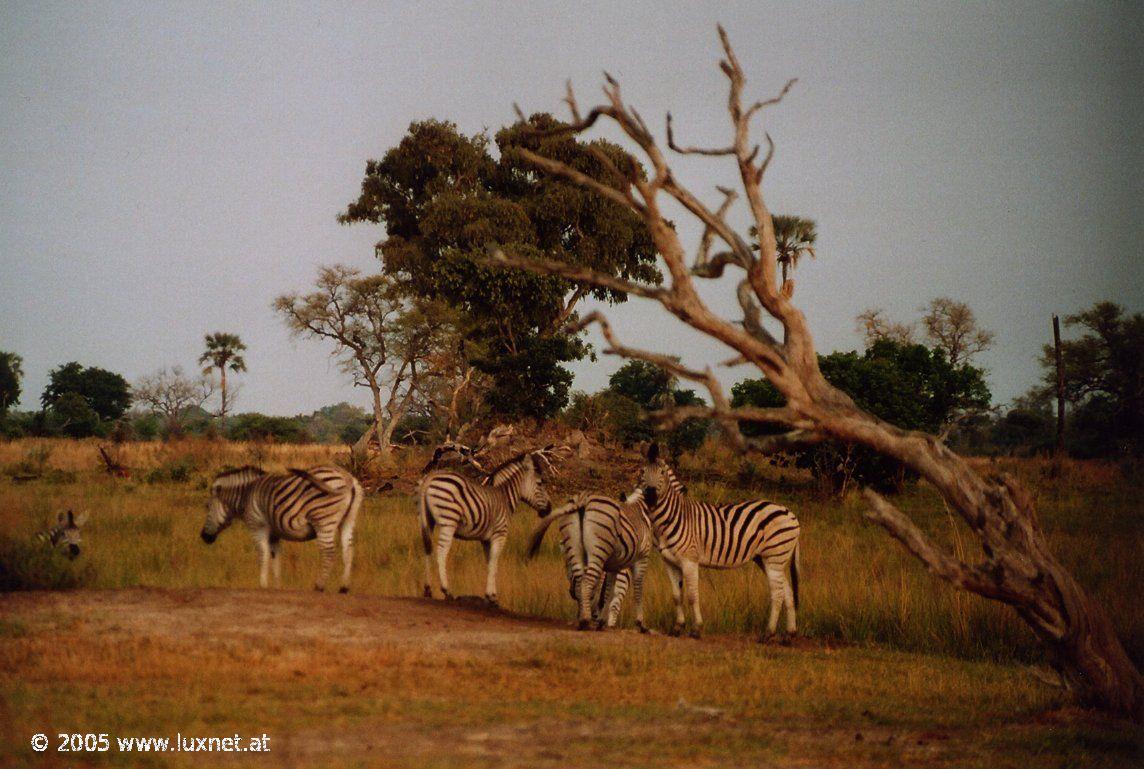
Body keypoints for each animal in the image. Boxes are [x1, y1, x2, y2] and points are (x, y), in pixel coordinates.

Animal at [200, 462, 361, 595]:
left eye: (208, 507)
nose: (203, 537)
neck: (246, 494)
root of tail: (348, 478)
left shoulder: (257, 526)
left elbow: (263, 554)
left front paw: (263, 585)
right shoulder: (274, 534)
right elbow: (275, 557)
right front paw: (277, 587)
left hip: (323, 519)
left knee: (328, 552)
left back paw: (319, 586)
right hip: (348, 520)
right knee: (348, 550)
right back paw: (344, 588)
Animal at [423, 448, 555, 604]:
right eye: (540, 483)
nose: (549, 509)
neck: (504, 497)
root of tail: (430, 479)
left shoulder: (485, 539)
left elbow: (490, 562)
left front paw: (489, 595)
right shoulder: (499, 534)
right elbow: (495, 563)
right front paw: (492, 596)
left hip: (428, 520)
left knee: (428, 549)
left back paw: (427, 590)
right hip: (448, 521)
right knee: (441, 551)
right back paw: (446, 590)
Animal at [528, 489, 654, 631]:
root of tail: (582, 500)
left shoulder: (614, 566)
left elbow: (608, 592)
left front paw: (601, 621)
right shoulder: (641, 557)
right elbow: (637, 588)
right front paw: (640, 623)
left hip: (576, 548)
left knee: (584, 587)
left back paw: (585, 618)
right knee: (599, 592)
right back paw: (588, 620)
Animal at [640, 441, 800, 640]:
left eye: (661, 472)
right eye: (642, 471)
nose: (650, 496)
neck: (672, 516)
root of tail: (790, 513)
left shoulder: (689, 560)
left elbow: (692, 595)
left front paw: (696, 629)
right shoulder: (669, 561)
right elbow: (677, 596)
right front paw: (677, 628)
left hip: (774, 557)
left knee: (777, 594)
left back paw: (768, 634)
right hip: (769, 559)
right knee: (787, 591)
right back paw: (789, 634)